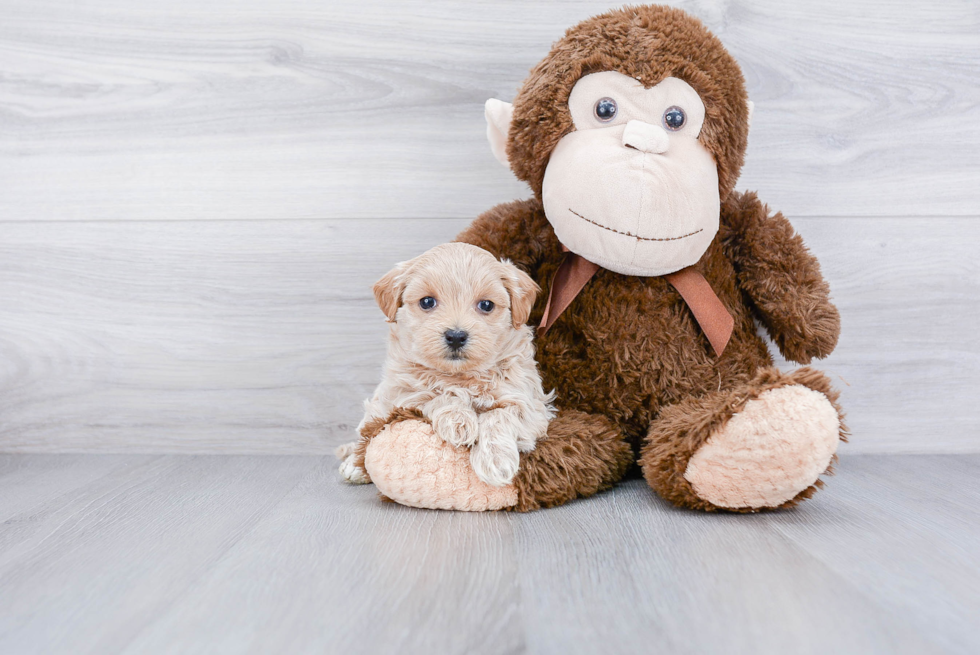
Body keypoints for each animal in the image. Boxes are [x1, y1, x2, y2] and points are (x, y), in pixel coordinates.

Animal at [338, 242, 556, 486]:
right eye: (427, 302)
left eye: (486, 305)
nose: (456, 336)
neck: (460, 376)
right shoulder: (403, 393)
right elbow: (437, 395)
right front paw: (458, 421)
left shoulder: (530, 405)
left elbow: (499, 415)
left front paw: (495, 461)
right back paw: (354, 465)